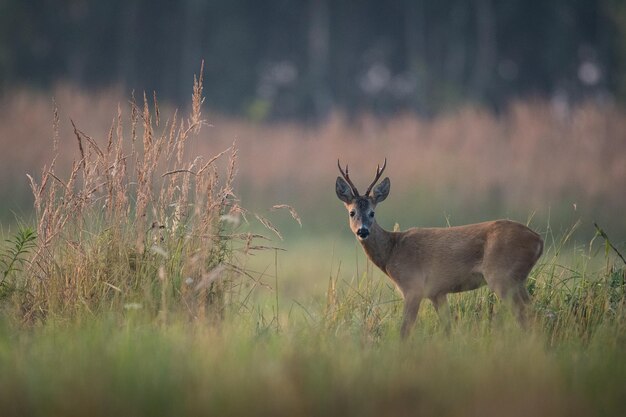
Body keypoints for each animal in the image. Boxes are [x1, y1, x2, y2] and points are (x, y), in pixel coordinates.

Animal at [332, 158, 540, 336]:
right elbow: (448, 328)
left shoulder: (413, 287)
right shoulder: (437, 293)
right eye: (352, 212)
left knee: (526, 315)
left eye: (372, 213)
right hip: (517, 279)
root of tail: (538, 240)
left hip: (502, 276)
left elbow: (405, 330)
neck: (392, 251)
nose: (363, 231)